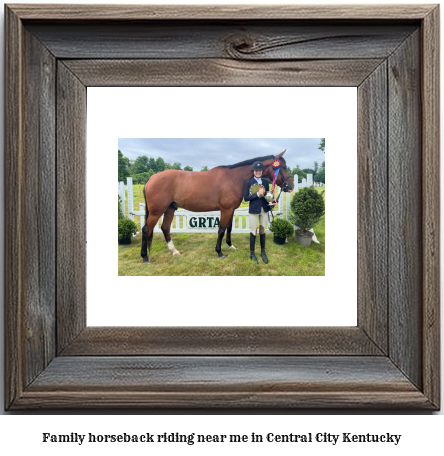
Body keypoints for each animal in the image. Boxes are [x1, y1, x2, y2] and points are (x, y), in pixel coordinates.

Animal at [142, 151, 294, 264]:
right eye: (283, 167)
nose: (291, 186)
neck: (234, 178)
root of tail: (151, 178)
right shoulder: (226, 210)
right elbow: (221, 230)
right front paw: (220, 252)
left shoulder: (231, 210)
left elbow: (229, 228)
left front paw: (230, 245)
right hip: (157, 211)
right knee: (146, 229)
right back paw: (145, 257)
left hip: (170, 208)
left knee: (165, 228)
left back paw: (174, 251)